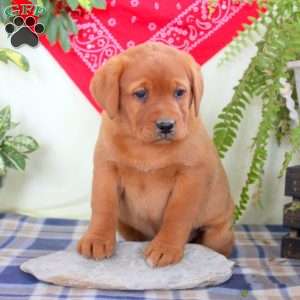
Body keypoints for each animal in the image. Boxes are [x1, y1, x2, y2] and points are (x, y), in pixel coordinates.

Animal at [77, 41, 234, 268]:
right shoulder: (106, 168)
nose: (166, 125)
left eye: (179, 92)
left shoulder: (190, 176)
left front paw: (165, 247)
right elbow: (102, 205)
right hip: (126, 225)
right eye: (141, 93)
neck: (147, 147)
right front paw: (97, 238)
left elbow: (177, 215)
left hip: (219, 233)